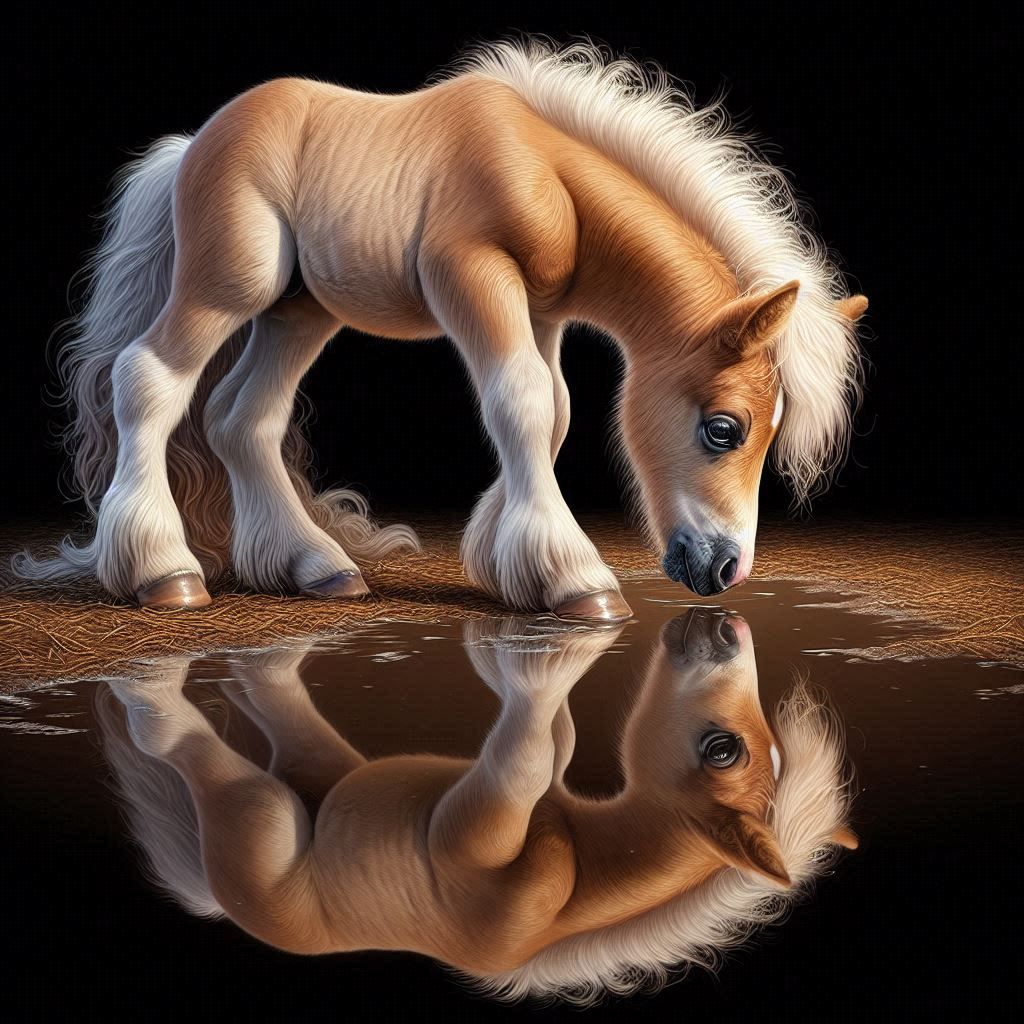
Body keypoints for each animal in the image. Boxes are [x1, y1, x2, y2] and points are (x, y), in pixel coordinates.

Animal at [15, 39, 868, 619]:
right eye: (725, 429)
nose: (726, 571)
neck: (545, 172)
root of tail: (192, 143)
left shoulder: (541, 310)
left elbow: (554, 412)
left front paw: (507, 563)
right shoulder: (473, 277)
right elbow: (521, 403)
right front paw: (575, 580)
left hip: (300, 310)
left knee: (239, 417)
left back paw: (317, 569)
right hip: (234, 280)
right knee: (148, 378)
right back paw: (165, 574)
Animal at [97, 606, 857, 1002]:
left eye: (720, 750)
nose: (727, 622)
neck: (578, 865)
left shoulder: (466, 841)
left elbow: (521, 764)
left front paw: (538, 662)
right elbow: (551, 744)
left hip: (264, 823)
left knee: (207, 759)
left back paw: (146, 693)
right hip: (322, 775)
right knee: (280, 705)